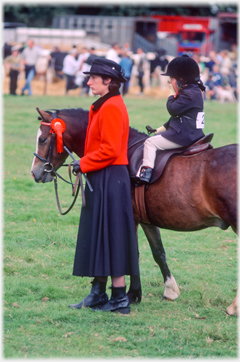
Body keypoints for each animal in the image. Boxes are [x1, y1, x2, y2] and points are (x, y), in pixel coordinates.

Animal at [31, 107, 237, 314]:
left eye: (43, 140)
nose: (35, 172)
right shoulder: (146, 221)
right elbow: (158, 253)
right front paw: (169, 290)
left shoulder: (130, 218)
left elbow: (133, 255)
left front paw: (132, 294)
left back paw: (234, 307)